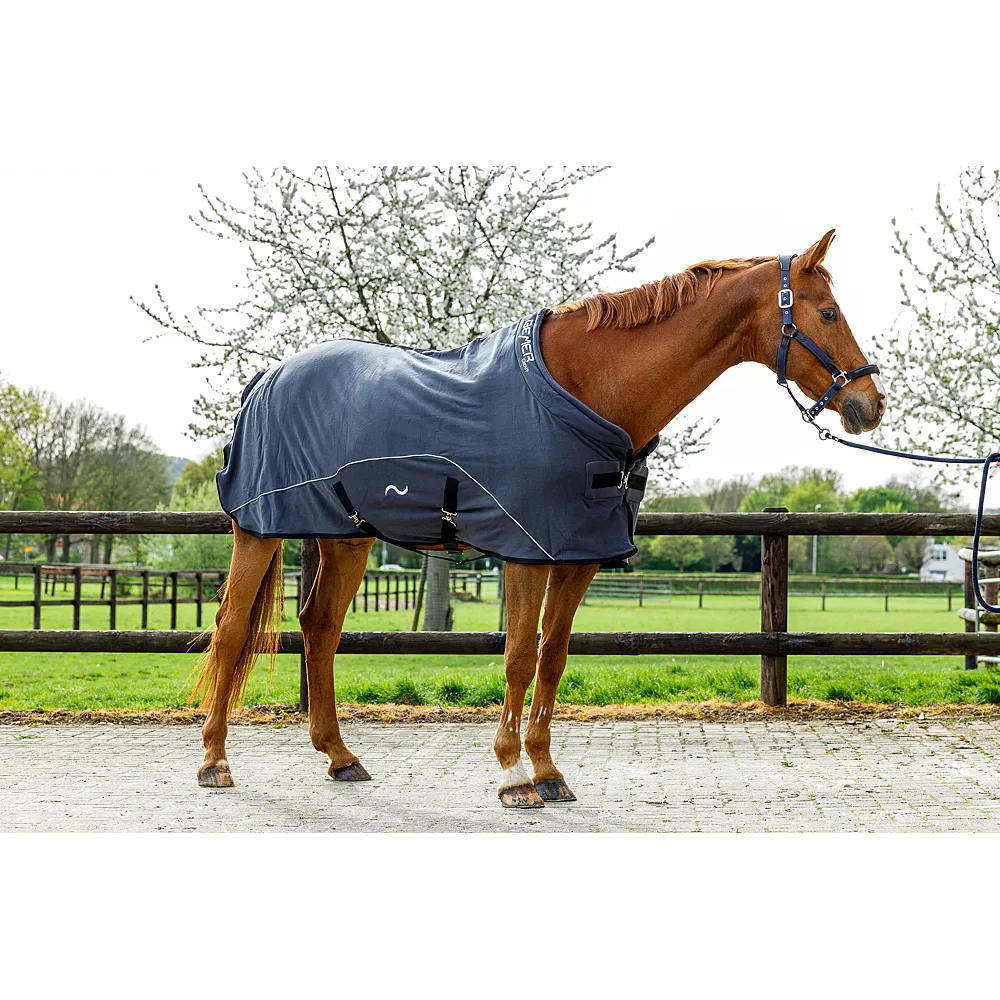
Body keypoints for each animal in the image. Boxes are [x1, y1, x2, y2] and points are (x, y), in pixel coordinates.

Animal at [193, 229, 886, 808]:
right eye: (828, 312)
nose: (869, 403)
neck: (586, 390)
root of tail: (267, 379)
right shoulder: (527, 548)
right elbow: (520, 656)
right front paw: (513, 775)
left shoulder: (579, 554)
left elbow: (552, 657)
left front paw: (549, 772)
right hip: (259, 530)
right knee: (231, 630)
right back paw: (214, 761)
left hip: (347, 538)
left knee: (321, 628)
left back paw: (340, 757)